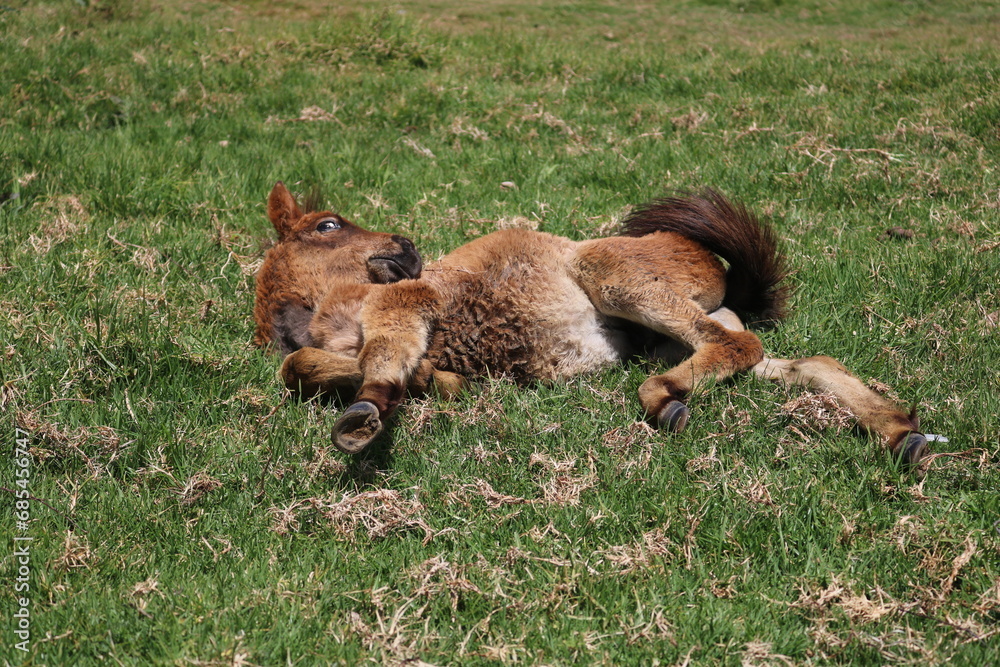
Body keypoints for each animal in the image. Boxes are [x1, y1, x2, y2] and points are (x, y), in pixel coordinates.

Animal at [253, 182, 929, 464]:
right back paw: (901, 432)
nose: (406, 246)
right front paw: (431, 383)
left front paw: (368, 410)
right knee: (786, 357)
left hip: (609, 274)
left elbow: (346, 358)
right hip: (670, 335)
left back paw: (664, 400)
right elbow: (301, 365)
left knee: (734, 345)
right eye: (329, 225)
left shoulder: (407, 301)